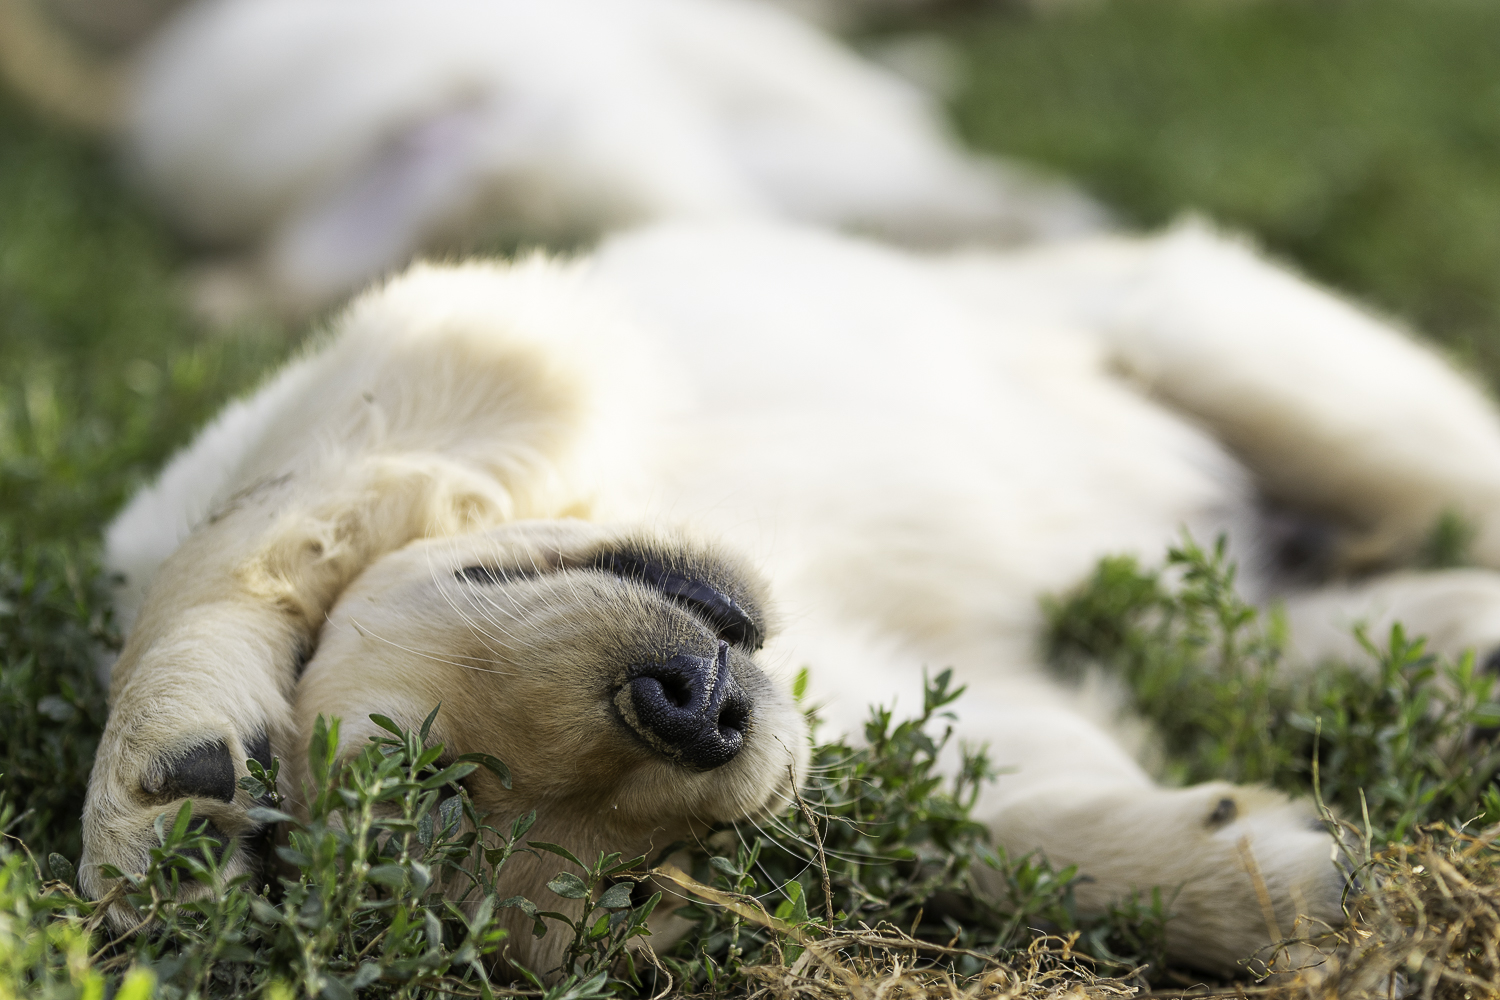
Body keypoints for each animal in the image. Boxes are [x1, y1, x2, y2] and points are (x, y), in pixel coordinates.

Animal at [79, 220, 1500, 977]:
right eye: (642, 878)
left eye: (419, 763)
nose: (690, 709)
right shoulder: (894, 702)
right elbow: (987, 828)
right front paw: (1250, 872)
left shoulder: (466, 340)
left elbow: (244, 534)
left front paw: (162, 778)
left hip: (1257, 355)